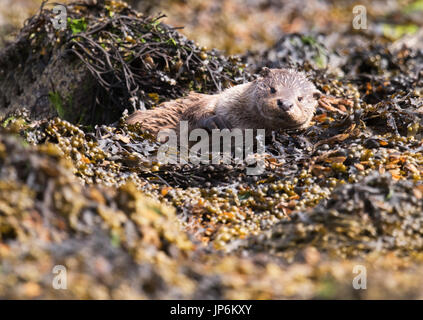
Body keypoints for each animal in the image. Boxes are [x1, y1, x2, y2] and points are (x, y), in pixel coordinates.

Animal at [126, 68, 322, 136]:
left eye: (300, 98)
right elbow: (191, 113)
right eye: (273, 89)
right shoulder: (216, 99)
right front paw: (216, 122)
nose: (285, 103)